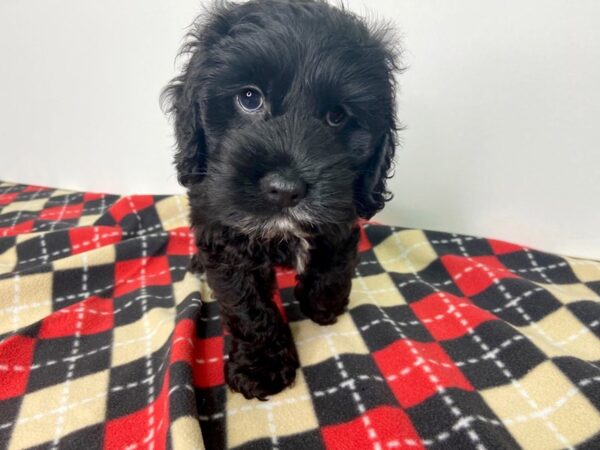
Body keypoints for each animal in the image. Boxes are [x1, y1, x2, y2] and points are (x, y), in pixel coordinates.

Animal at [162, 0, 400, 400]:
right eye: (249, 98)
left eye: (337, 116)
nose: (286, 189)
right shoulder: (225, 237)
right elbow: (248, 306)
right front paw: (262, 367)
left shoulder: (341, 212)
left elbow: (335, 258)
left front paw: (323, 304)